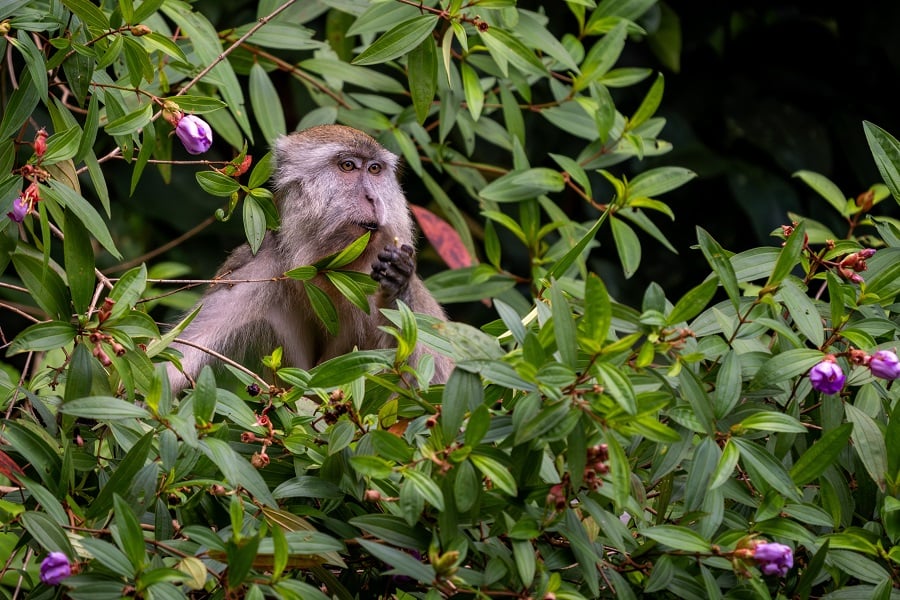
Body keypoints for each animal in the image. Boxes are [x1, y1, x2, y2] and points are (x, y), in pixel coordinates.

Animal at [163, 125, 450, 390]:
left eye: (375, 169)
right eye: (348, 166)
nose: (373, 197)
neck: (325, 267)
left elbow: (409, 374)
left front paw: (397, 284)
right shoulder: (259, 272)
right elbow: (175, 358)